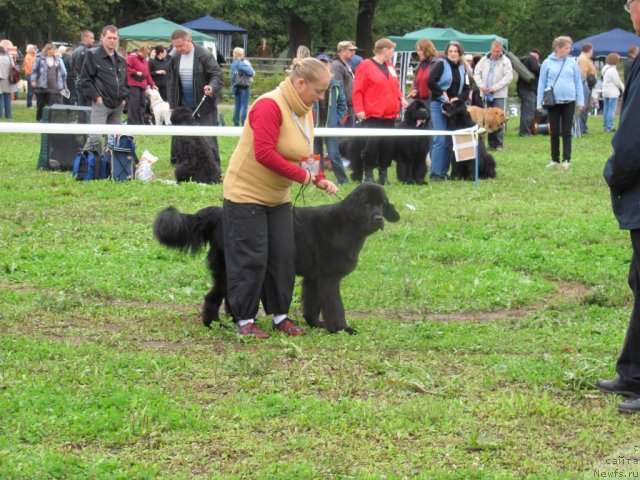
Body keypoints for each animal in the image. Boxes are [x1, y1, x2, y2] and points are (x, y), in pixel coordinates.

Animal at [152, 183, 398, 334]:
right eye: (366, 203)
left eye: (381, 204)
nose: (378, 218)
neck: (346, 225)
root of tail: (216, 213)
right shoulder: (328, 278)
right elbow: (335, 306)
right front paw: (342, 328)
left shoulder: (314, 278)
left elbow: (312, 304)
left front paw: (315, 323)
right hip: (226, 268)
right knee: (212, 297)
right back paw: (213, 324)